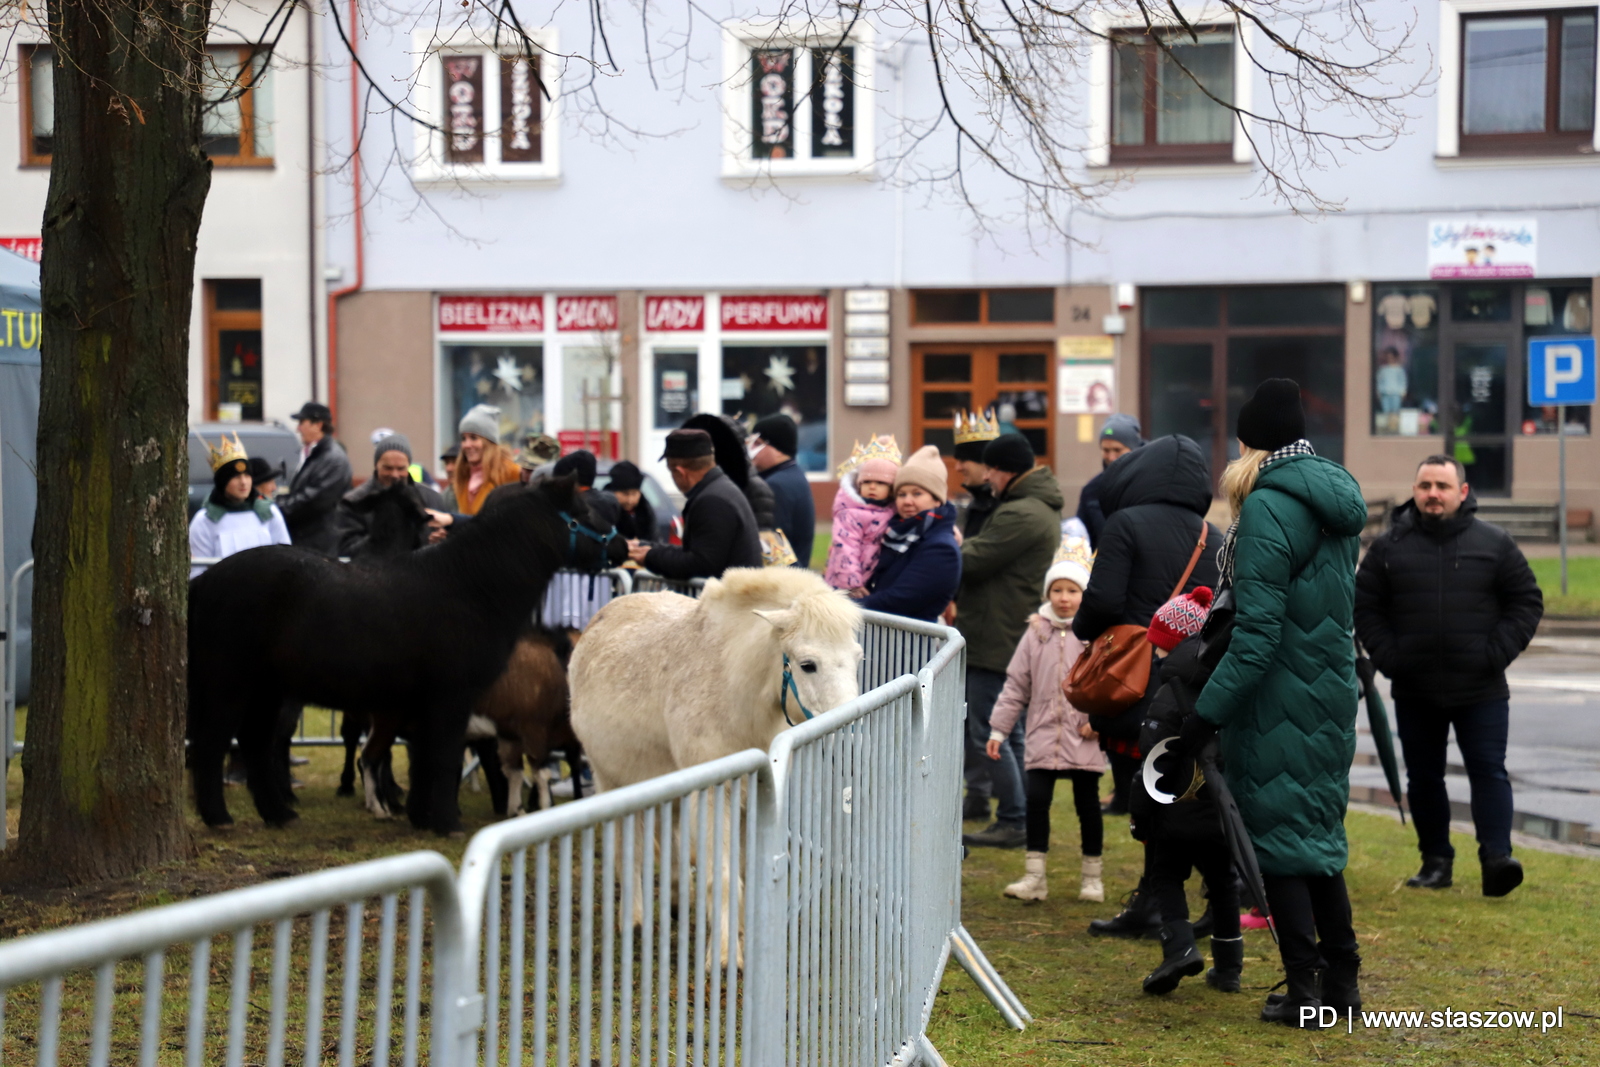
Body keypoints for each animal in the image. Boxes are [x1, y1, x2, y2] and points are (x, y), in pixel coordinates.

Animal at [188, 476, 624, 831]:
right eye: (583, 512)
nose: (622, 545)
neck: (470, 586)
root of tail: (203, 581)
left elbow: (424, 763)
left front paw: (420, 816)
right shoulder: (451, 697)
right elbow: (445, 760)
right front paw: (446, 823)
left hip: (268, 689)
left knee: (256, 742)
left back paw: (278, 814)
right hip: (231, 684)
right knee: (213, 743)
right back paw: (219, 817)